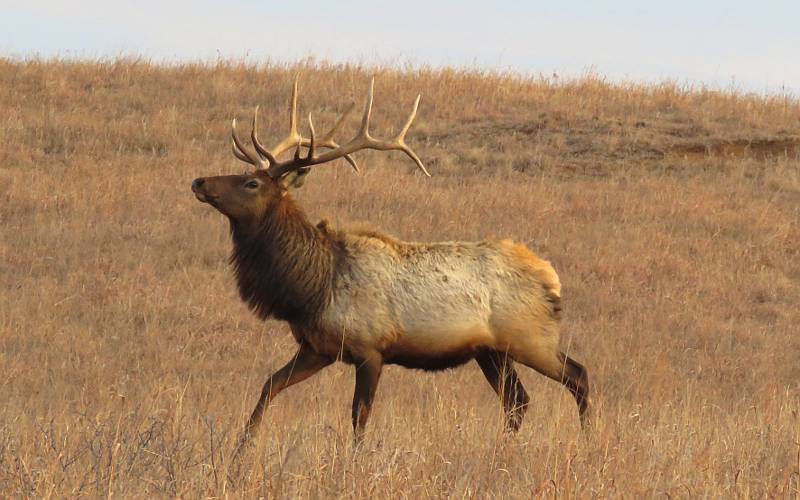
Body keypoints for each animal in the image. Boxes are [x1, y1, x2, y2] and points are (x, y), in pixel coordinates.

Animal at [191, 77, 592, 450]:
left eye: (251, 183)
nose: (199, 181)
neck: (311, 288)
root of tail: (549, 277)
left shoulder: (370, 349)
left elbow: (359, 417)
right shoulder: (317, 348)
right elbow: (269, 385)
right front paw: (241, 448)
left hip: (530, 337)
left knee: (578, 375)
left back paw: (588, 442)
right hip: (491, 352)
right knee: (517, 400)